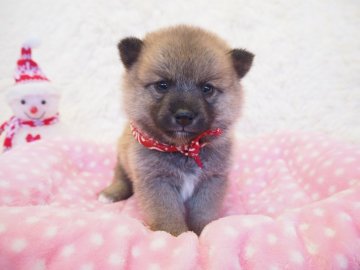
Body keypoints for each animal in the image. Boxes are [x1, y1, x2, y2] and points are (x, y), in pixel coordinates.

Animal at [100, 25, 255, 236]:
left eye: (207, 88)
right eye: (162, 85)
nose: (184, 116)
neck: (184, 149)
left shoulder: (211, 181)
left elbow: (203, 213)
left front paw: (203, 231)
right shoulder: (156, 182)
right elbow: (168, 215)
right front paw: (177, 236)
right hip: (123, 161)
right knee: (121, 178)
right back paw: (110, 193)